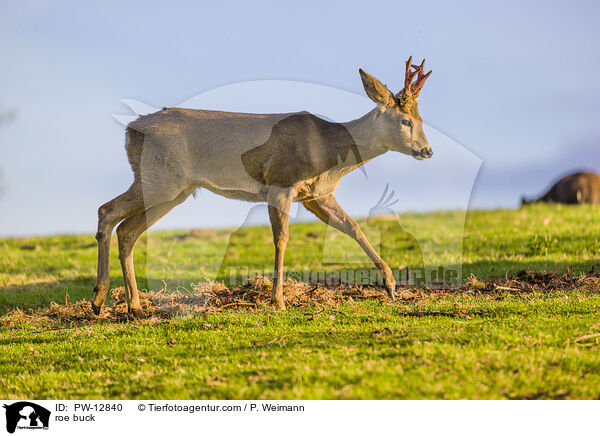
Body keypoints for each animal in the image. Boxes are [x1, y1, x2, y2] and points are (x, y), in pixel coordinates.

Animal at [92, 58, 432, 316]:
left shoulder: (317, 195)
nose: (427, 151)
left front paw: (390, 284)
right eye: (405, 121)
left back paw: (132, 307)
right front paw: (278, 300)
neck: (327, 150)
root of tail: (130, 129)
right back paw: (101, 299)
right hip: (160, 179)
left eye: (421, 119)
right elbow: (281, 239)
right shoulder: (280, 182)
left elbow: (352, 226)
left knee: (126, 230)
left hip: (172, 190)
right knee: (108, 211)